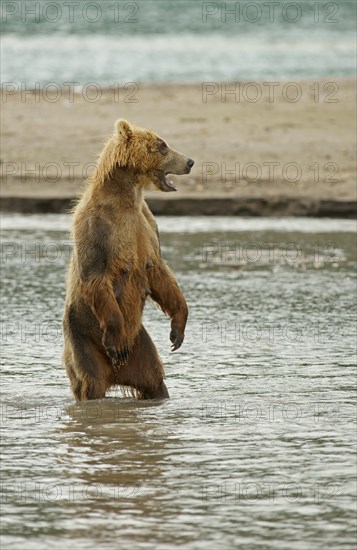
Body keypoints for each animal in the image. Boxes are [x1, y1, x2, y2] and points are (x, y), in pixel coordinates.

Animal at [62, 121, 193, 404]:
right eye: (162, 144)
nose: (190, 161)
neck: (127, 198)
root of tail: (116, 373)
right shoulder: (96, 227)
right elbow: (96, 276)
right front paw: (117, 344)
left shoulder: (146, 225)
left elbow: (160, 272)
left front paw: (177, 330)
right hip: (82, 334)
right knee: (91, 380)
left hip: (140, 346)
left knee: (154, 378)